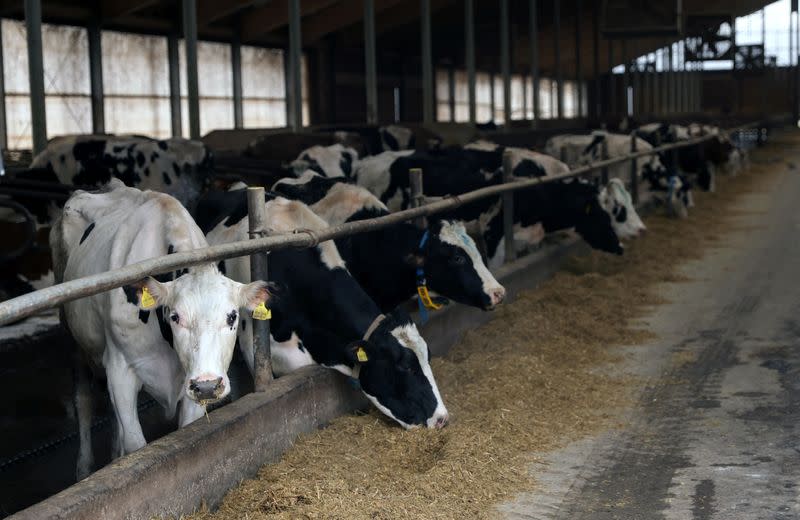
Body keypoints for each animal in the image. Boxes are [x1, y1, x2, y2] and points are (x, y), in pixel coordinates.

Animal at [52, 181, 276, 478]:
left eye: (232, 317)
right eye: (175, 316)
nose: (208, 386)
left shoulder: (189, 382)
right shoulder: (120, 368)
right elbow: (135, 444)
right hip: (72, 336)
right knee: (84, 401)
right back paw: (84, 468)